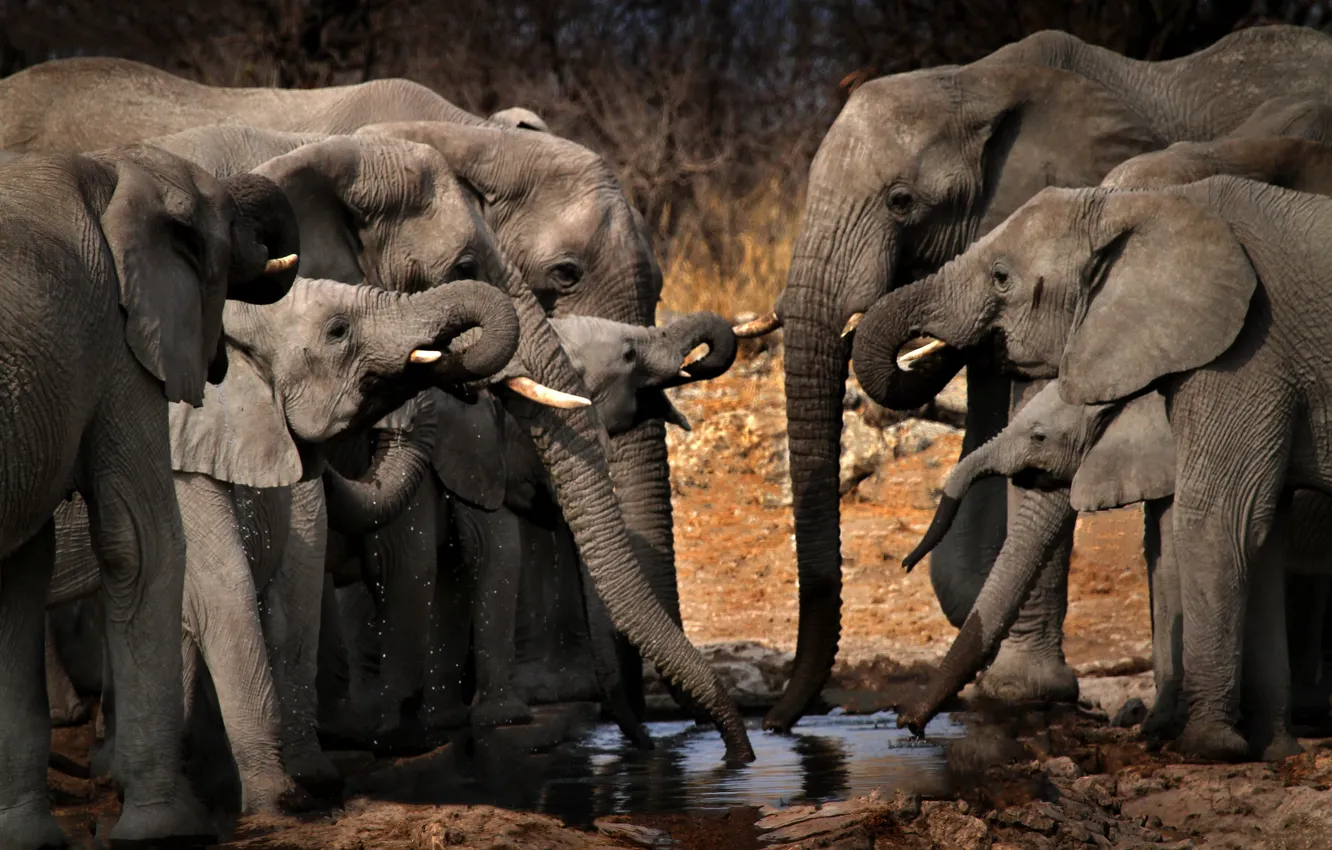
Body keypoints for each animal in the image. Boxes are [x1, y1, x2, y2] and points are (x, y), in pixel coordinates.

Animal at [0, 146, 299, 849]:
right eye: (219, 240)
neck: (111, 170)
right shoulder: (118, 342)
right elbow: (142, 539)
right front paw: (167, 829)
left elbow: (24, 568)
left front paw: (26, 838)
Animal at [49, 276, 521, 813]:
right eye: (337, 331)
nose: (461, 388)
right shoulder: (169, 452)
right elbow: (222, 589)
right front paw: (278, 802)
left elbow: (267, 596)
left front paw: (307, 784)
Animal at [852, 174, 1332, 761]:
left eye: (1001, 278)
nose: (908, 725)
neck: (1140, 204)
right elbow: (1254, 537)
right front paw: (1270, 751)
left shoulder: (1248, 352)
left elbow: (1219, 521)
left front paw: (1207, 748)